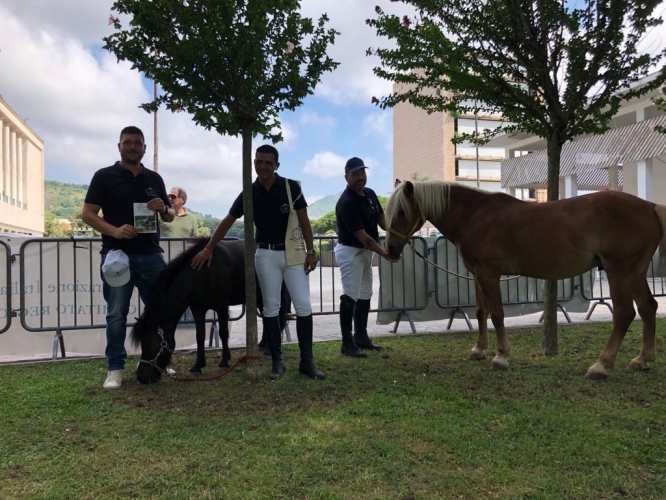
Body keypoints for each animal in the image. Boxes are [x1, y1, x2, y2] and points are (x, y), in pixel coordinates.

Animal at [131, 240, 284, 384]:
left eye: (149, 344)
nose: (142, 377)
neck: (204, 272)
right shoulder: (197, 308)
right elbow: (200, 336)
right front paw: (197, 366)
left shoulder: (222, 306)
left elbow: (223, 333)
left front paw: (224, 362)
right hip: (259, 297)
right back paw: (262, 345)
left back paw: (268, 351)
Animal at [382, 181, 664, 378]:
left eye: (401, 211)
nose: (391, 250)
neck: (476, 215)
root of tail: (650, 206)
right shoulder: (477, 274)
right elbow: (481, 311)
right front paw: (479, 350)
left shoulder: (489, 273)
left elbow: (497, 314)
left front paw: (501, 356)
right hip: (636, 273)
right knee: (648, 308)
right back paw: (643, 360)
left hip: (620, 272)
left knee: (625, 314)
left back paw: (601, 365)